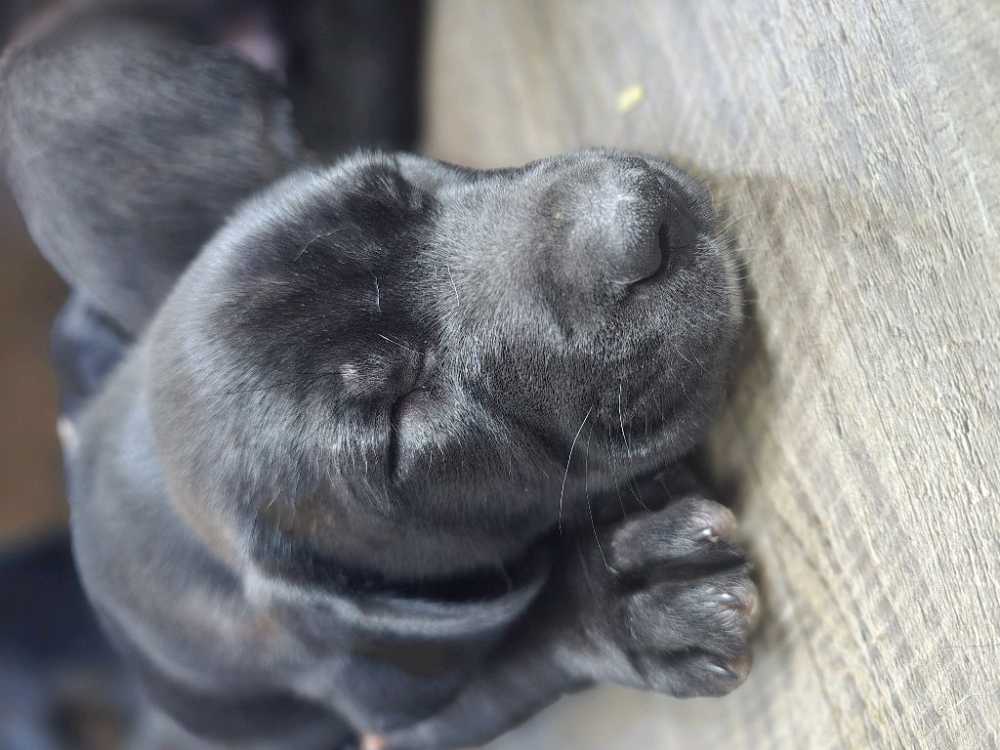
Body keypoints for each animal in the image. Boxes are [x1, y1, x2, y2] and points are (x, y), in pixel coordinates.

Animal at [1, 2, 755, 748]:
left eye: (395, 186)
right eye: (397, 420)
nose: (634, 228)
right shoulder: (392, 715)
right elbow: (522, 650)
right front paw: (627, 599)